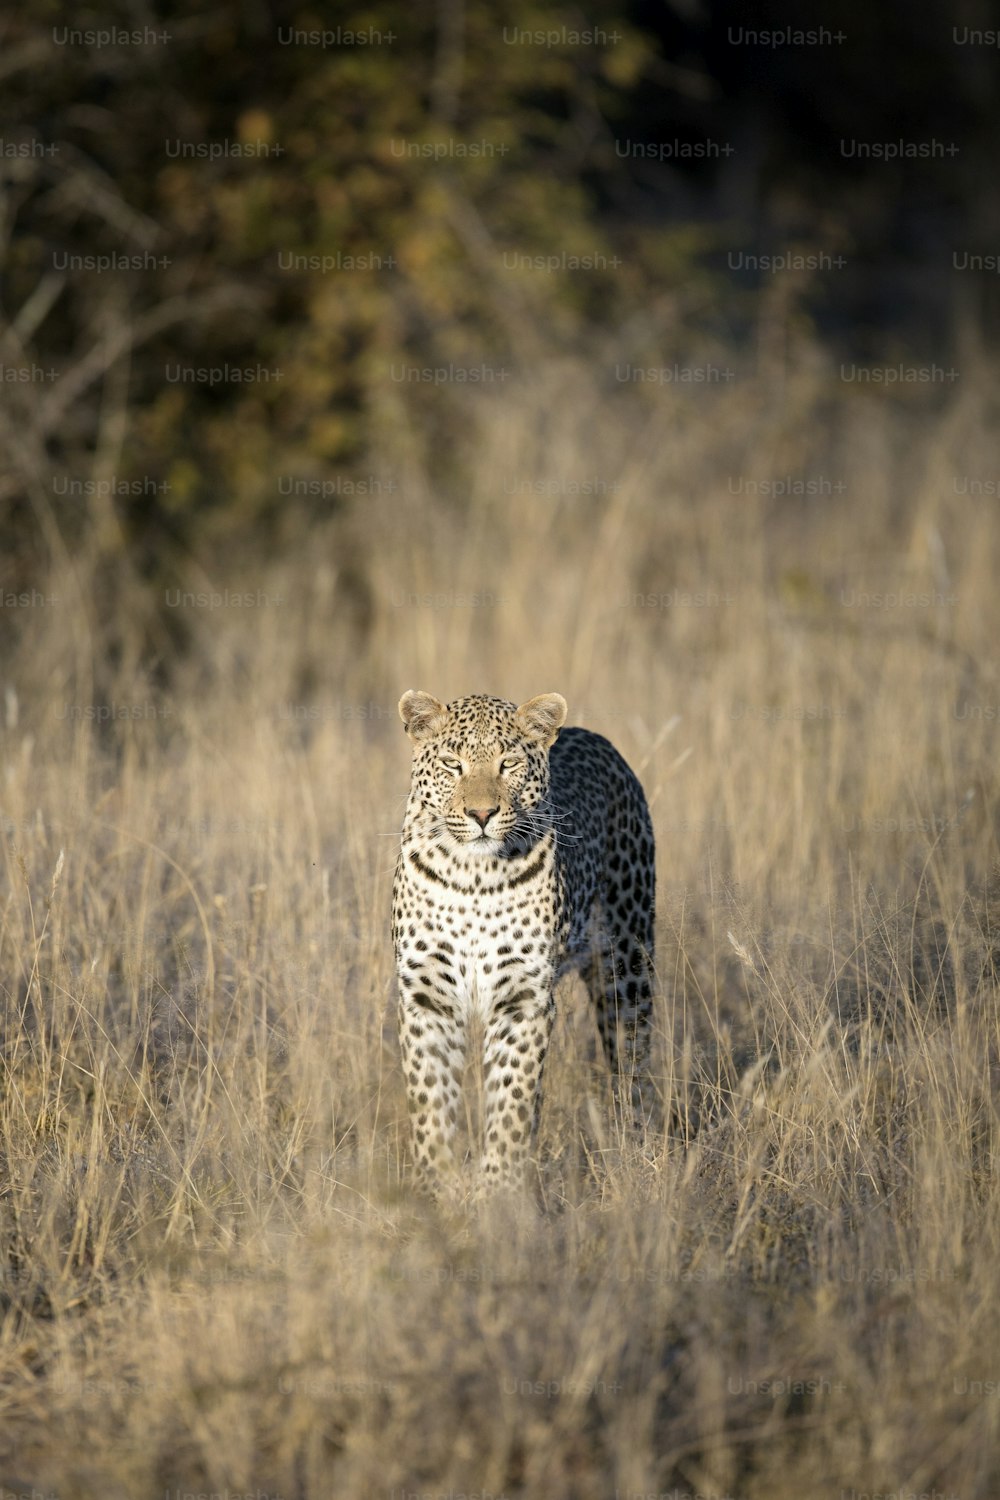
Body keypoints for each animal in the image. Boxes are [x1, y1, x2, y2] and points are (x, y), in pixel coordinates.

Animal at [389, 690, 656, 1194]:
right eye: (452, 764)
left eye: (508, 763)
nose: (481, 814)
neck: (472, 877)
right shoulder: (428, 995)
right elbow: (430, 1098)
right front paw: (439, 1184)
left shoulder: (523, 998)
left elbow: (512, 1099)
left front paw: (499, 1189)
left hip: (628, 964)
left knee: (633, 1064)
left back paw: (639, 1159)